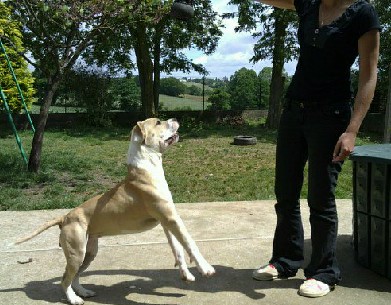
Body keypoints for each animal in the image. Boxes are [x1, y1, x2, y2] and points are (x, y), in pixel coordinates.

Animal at [16, 117, 216, 302]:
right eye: (158, 122)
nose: (174, 119)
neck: (147, 166)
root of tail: (65, 217)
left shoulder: (166, 221)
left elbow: (178, 248)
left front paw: (186, 274)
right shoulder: (171, 218)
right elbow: (189, 242)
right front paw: (206, 268)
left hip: (88, 253)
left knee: (76, 276)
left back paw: (83, 292)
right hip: (76, 253)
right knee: (65, 279)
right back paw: (73, 299)